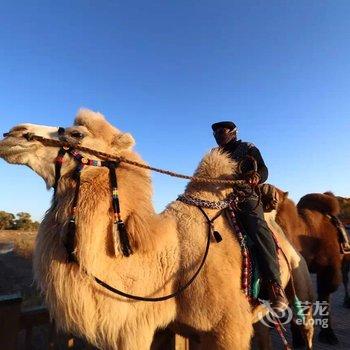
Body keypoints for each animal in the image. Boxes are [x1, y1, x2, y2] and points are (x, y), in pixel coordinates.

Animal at [0, 110, 314, 350]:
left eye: (76, 134)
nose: (14, 133)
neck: (171, 264)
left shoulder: (229, 329)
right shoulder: (165, 327)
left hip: (300, 281)